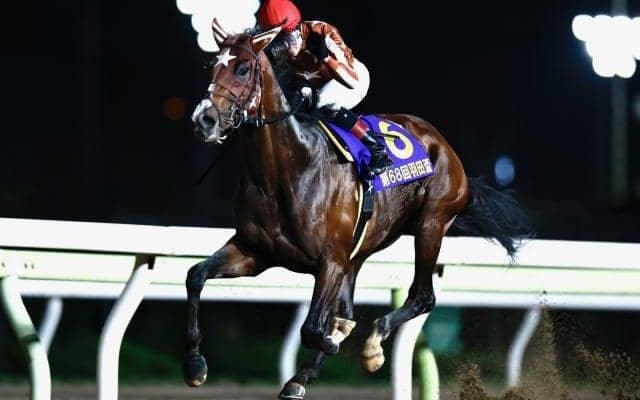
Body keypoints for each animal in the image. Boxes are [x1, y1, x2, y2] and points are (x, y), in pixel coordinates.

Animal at [184, 20, 531, 400]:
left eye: (243, 68)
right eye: (212, 65)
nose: (204, 119)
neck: (286, 171)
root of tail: (444, 145)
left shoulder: (330, 261)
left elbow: (312, 328)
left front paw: (338, 347)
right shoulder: (255, 252)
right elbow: (196, 275)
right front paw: (196, 365)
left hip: (430, 225)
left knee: (422, 296)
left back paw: (372, 346)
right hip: (360, 252)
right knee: (349, 312)